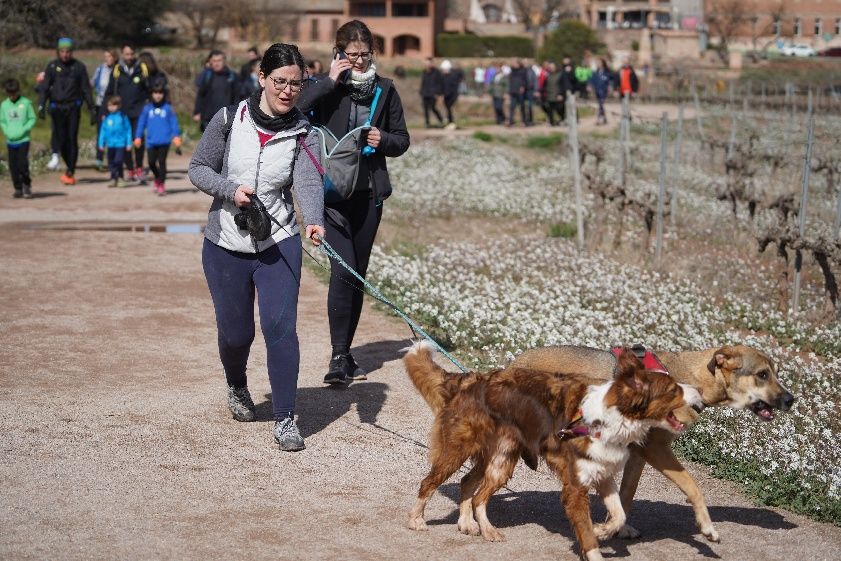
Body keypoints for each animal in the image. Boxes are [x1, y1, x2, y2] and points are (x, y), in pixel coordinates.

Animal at [512, 344, 796, 540]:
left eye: (775, 373)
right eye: (762, 374)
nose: (791, 400)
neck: (695, 379)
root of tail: (511, 364)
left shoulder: (638, 453)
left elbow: (626, 494)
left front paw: (616, 527)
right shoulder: (657, 449)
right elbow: (692, 485)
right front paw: (706, 526)